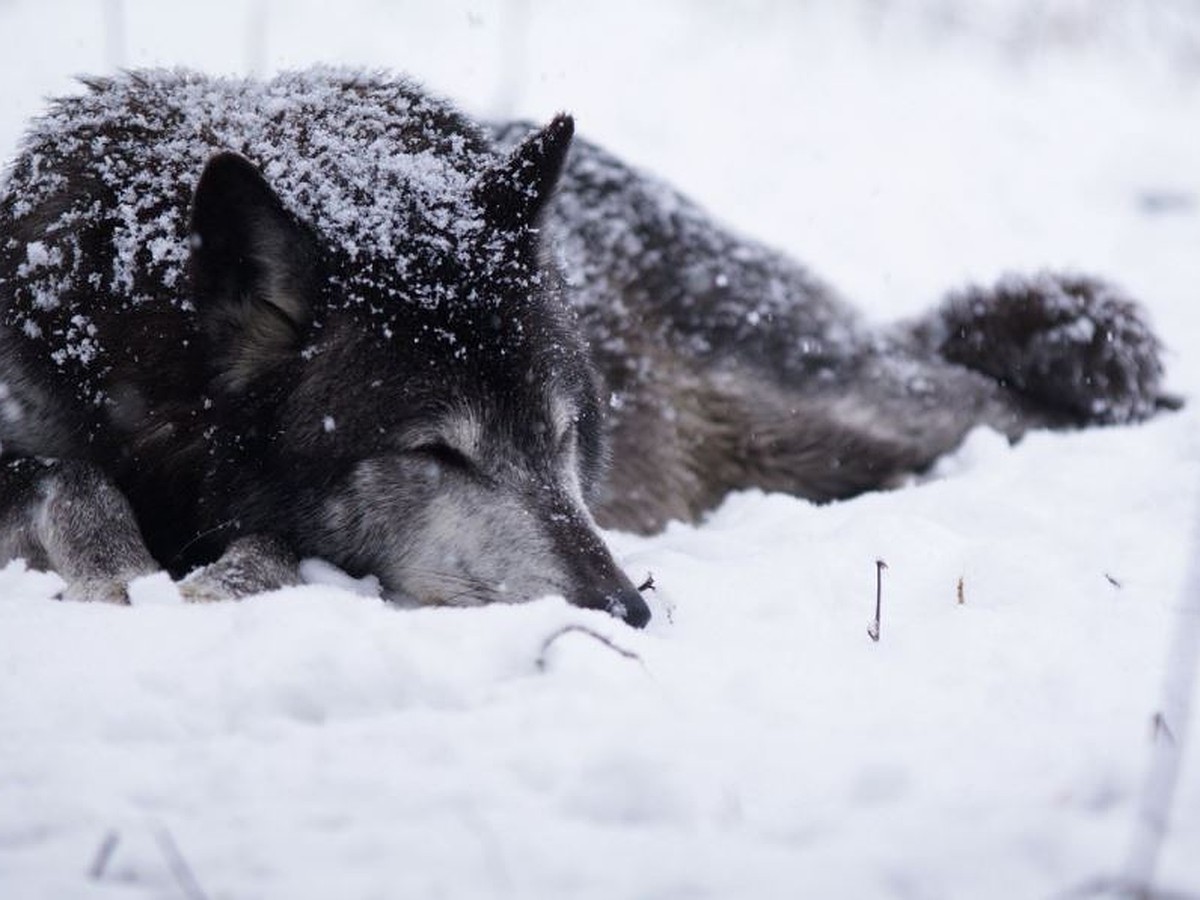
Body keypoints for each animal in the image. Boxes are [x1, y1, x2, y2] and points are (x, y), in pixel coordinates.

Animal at [0, 68, 1171, 628]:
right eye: (436, 452)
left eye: (564, 437)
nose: (627, 611)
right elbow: (65, 476)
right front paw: (121, 571)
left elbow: (270, 540)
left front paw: (213, 579)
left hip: (840, 413)